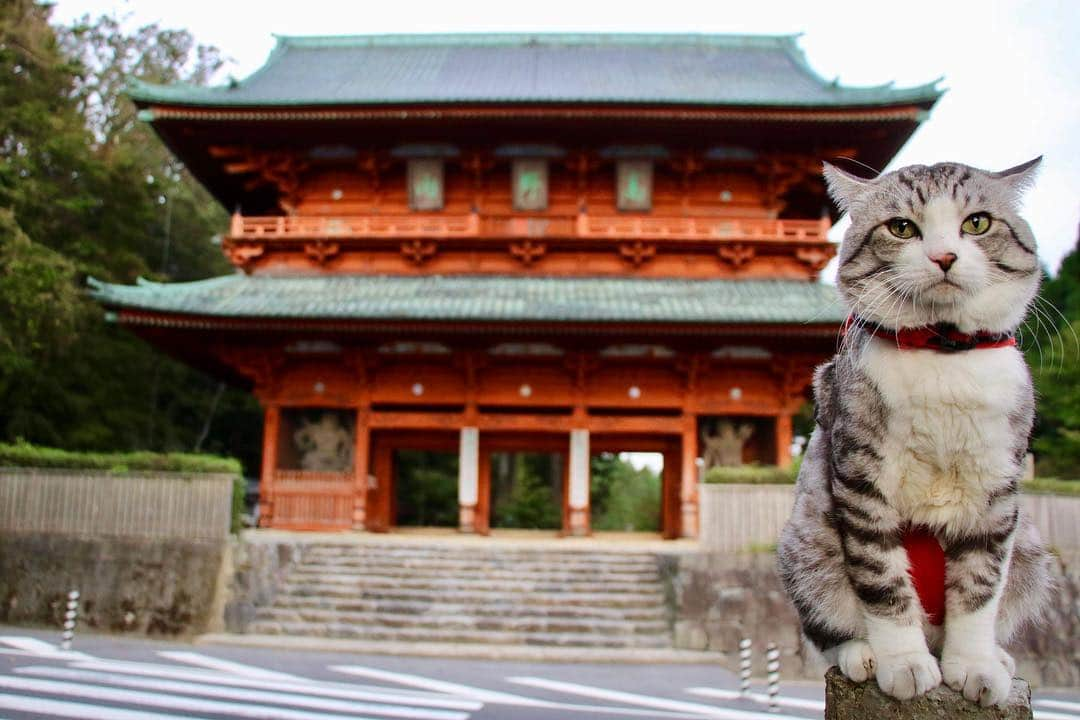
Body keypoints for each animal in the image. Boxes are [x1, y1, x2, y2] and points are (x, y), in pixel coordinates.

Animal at [781, 158, 1049, 708]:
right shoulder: (861, 476)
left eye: (977, 223)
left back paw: (997, 657)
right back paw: (862, 654)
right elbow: (883, 582)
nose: (944, 256)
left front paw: (975, 668)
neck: (942, 350)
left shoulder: (997, 491)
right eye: (902, 228)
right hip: (806, 542)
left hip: (1032, 551)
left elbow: (980, 589)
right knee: (833, 624)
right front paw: (904, 665)